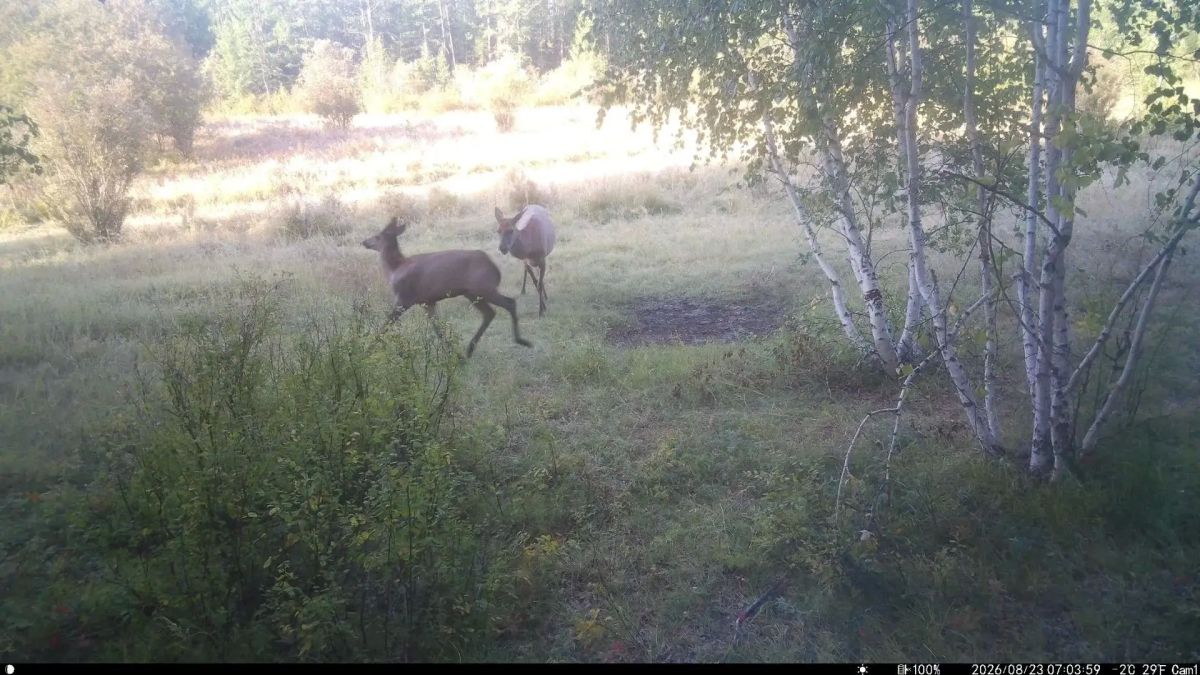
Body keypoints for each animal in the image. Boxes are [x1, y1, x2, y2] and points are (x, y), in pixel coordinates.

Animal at [362, 216, 532, 357]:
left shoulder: (404, 298)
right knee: (490, 313)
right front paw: (453, 353)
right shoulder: (427, 301)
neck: (395, 269)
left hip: (484, 288)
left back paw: (521, 340)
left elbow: (386, 324)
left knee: (509, 303)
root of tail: (495, 269)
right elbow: (438, 329)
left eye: (377, 236)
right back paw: (469, 350)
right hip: (472, 293)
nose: (364, 242)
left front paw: (368, 349)